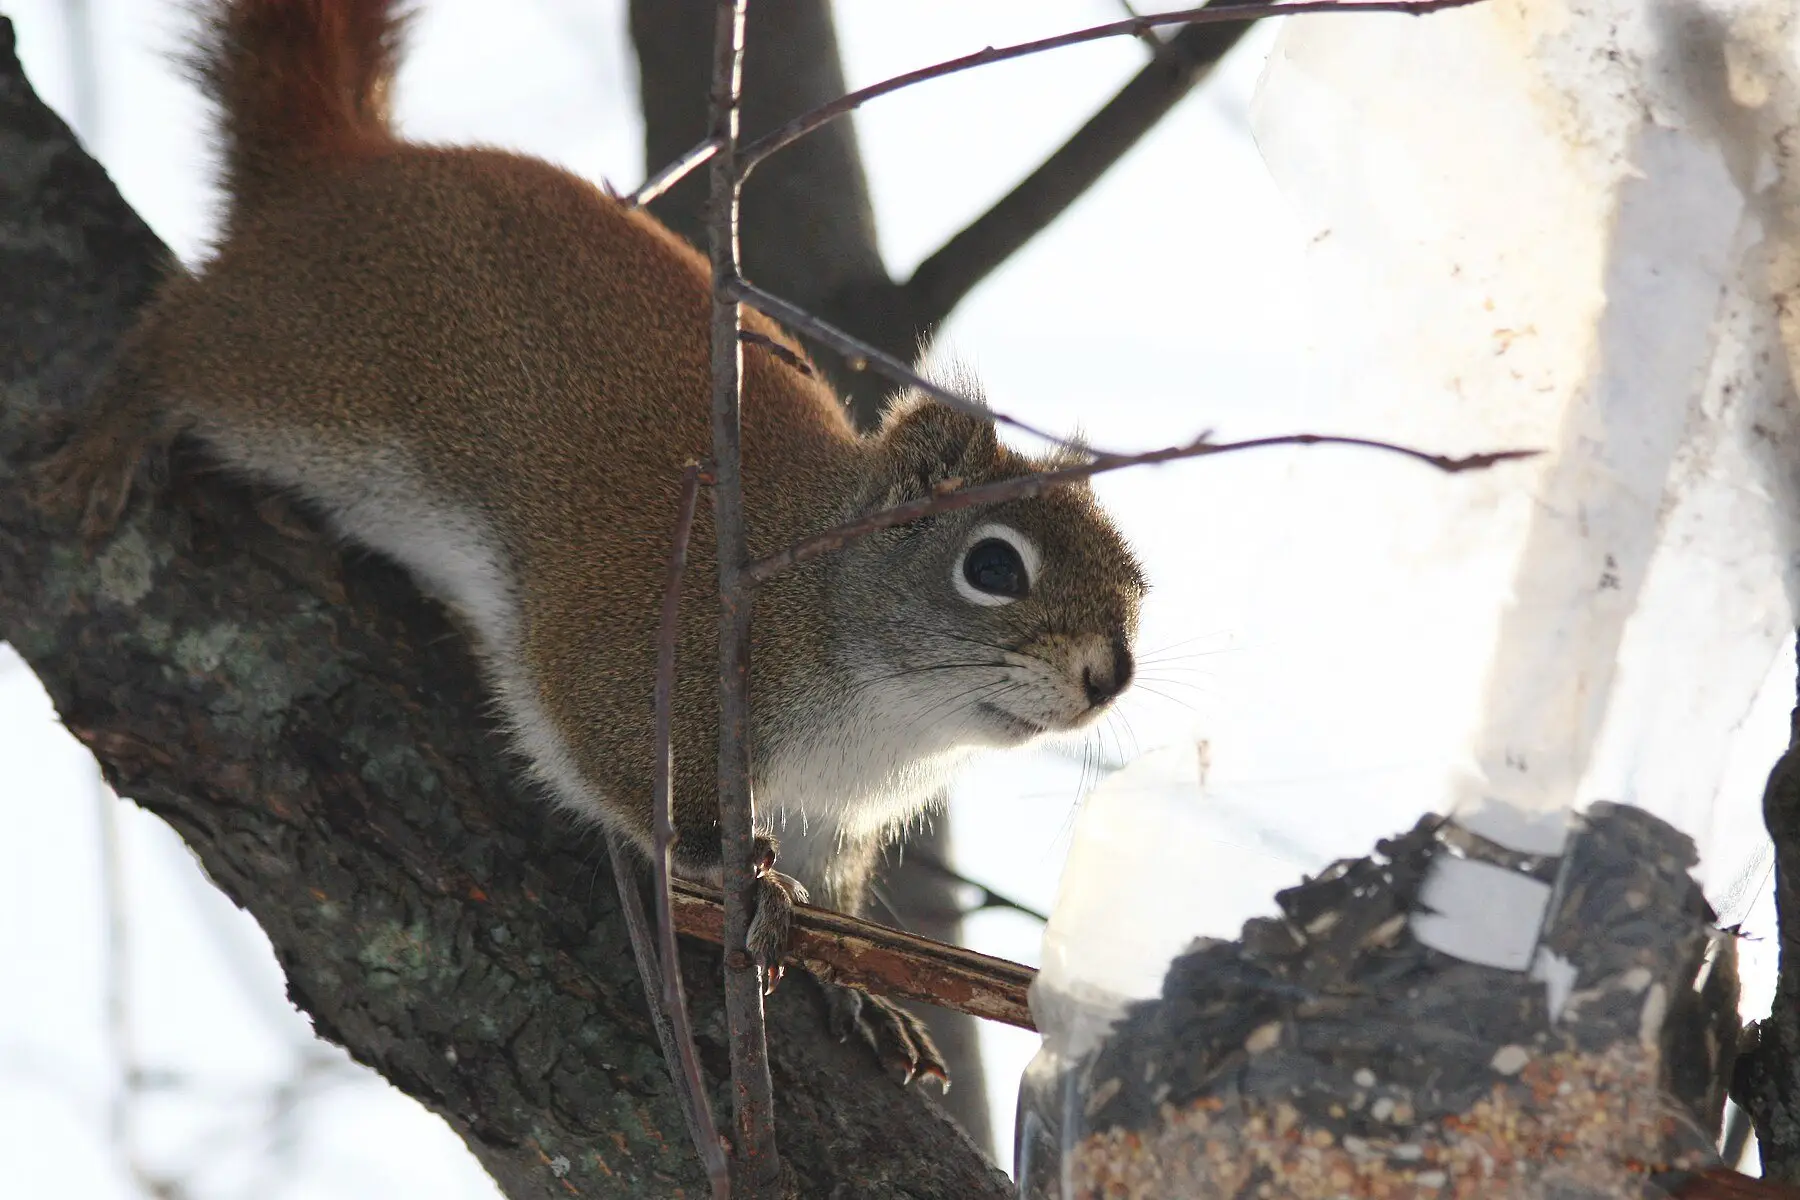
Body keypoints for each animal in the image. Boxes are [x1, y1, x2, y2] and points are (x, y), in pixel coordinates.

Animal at [44, 0, 1146, 1086]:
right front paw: (725, 871)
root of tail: (346, 168)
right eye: (993, 566)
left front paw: (863, 990)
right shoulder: (634, 652)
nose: (1110, 677)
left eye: (1137, 582)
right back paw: (115, 431)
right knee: (181, 345)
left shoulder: (834, 819)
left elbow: (840, 905)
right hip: (309, 374)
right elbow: (607, 755)